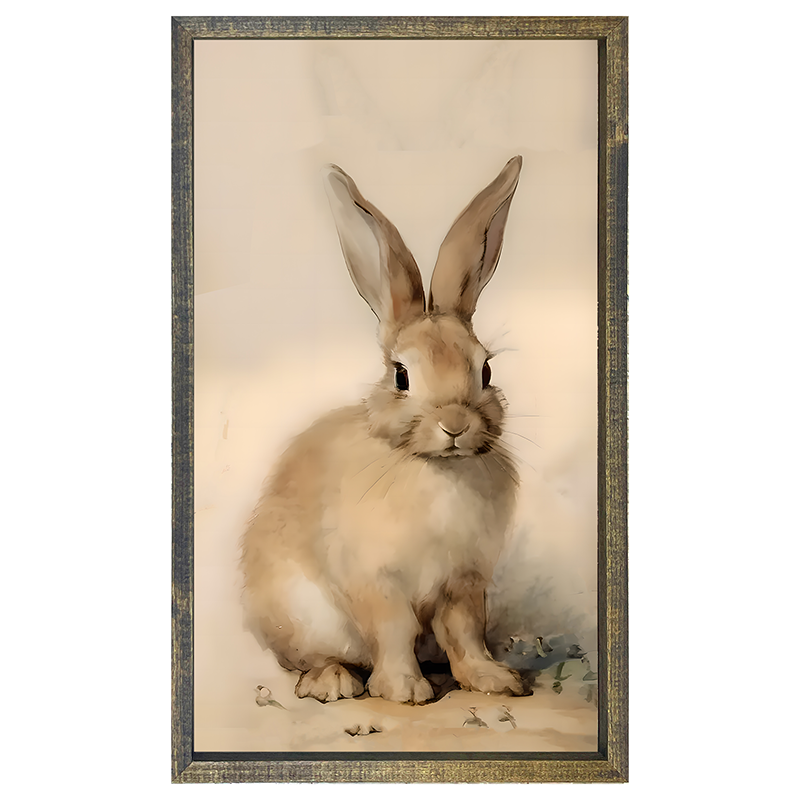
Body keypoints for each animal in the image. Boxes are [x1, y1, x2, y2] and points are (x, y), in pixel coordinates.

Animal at [241, 156, 527, 704]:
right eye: (401, 376)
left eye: (485, 370)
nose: (455, 424)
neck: (435, 468)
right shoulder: (376, 581)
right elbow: (393, 630)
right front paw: (405, 691)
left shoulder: (463, 581)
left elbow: (466, 632)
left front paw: (494, 680)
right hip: (302, 617)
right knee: (316, 659)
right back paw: (334, 682)